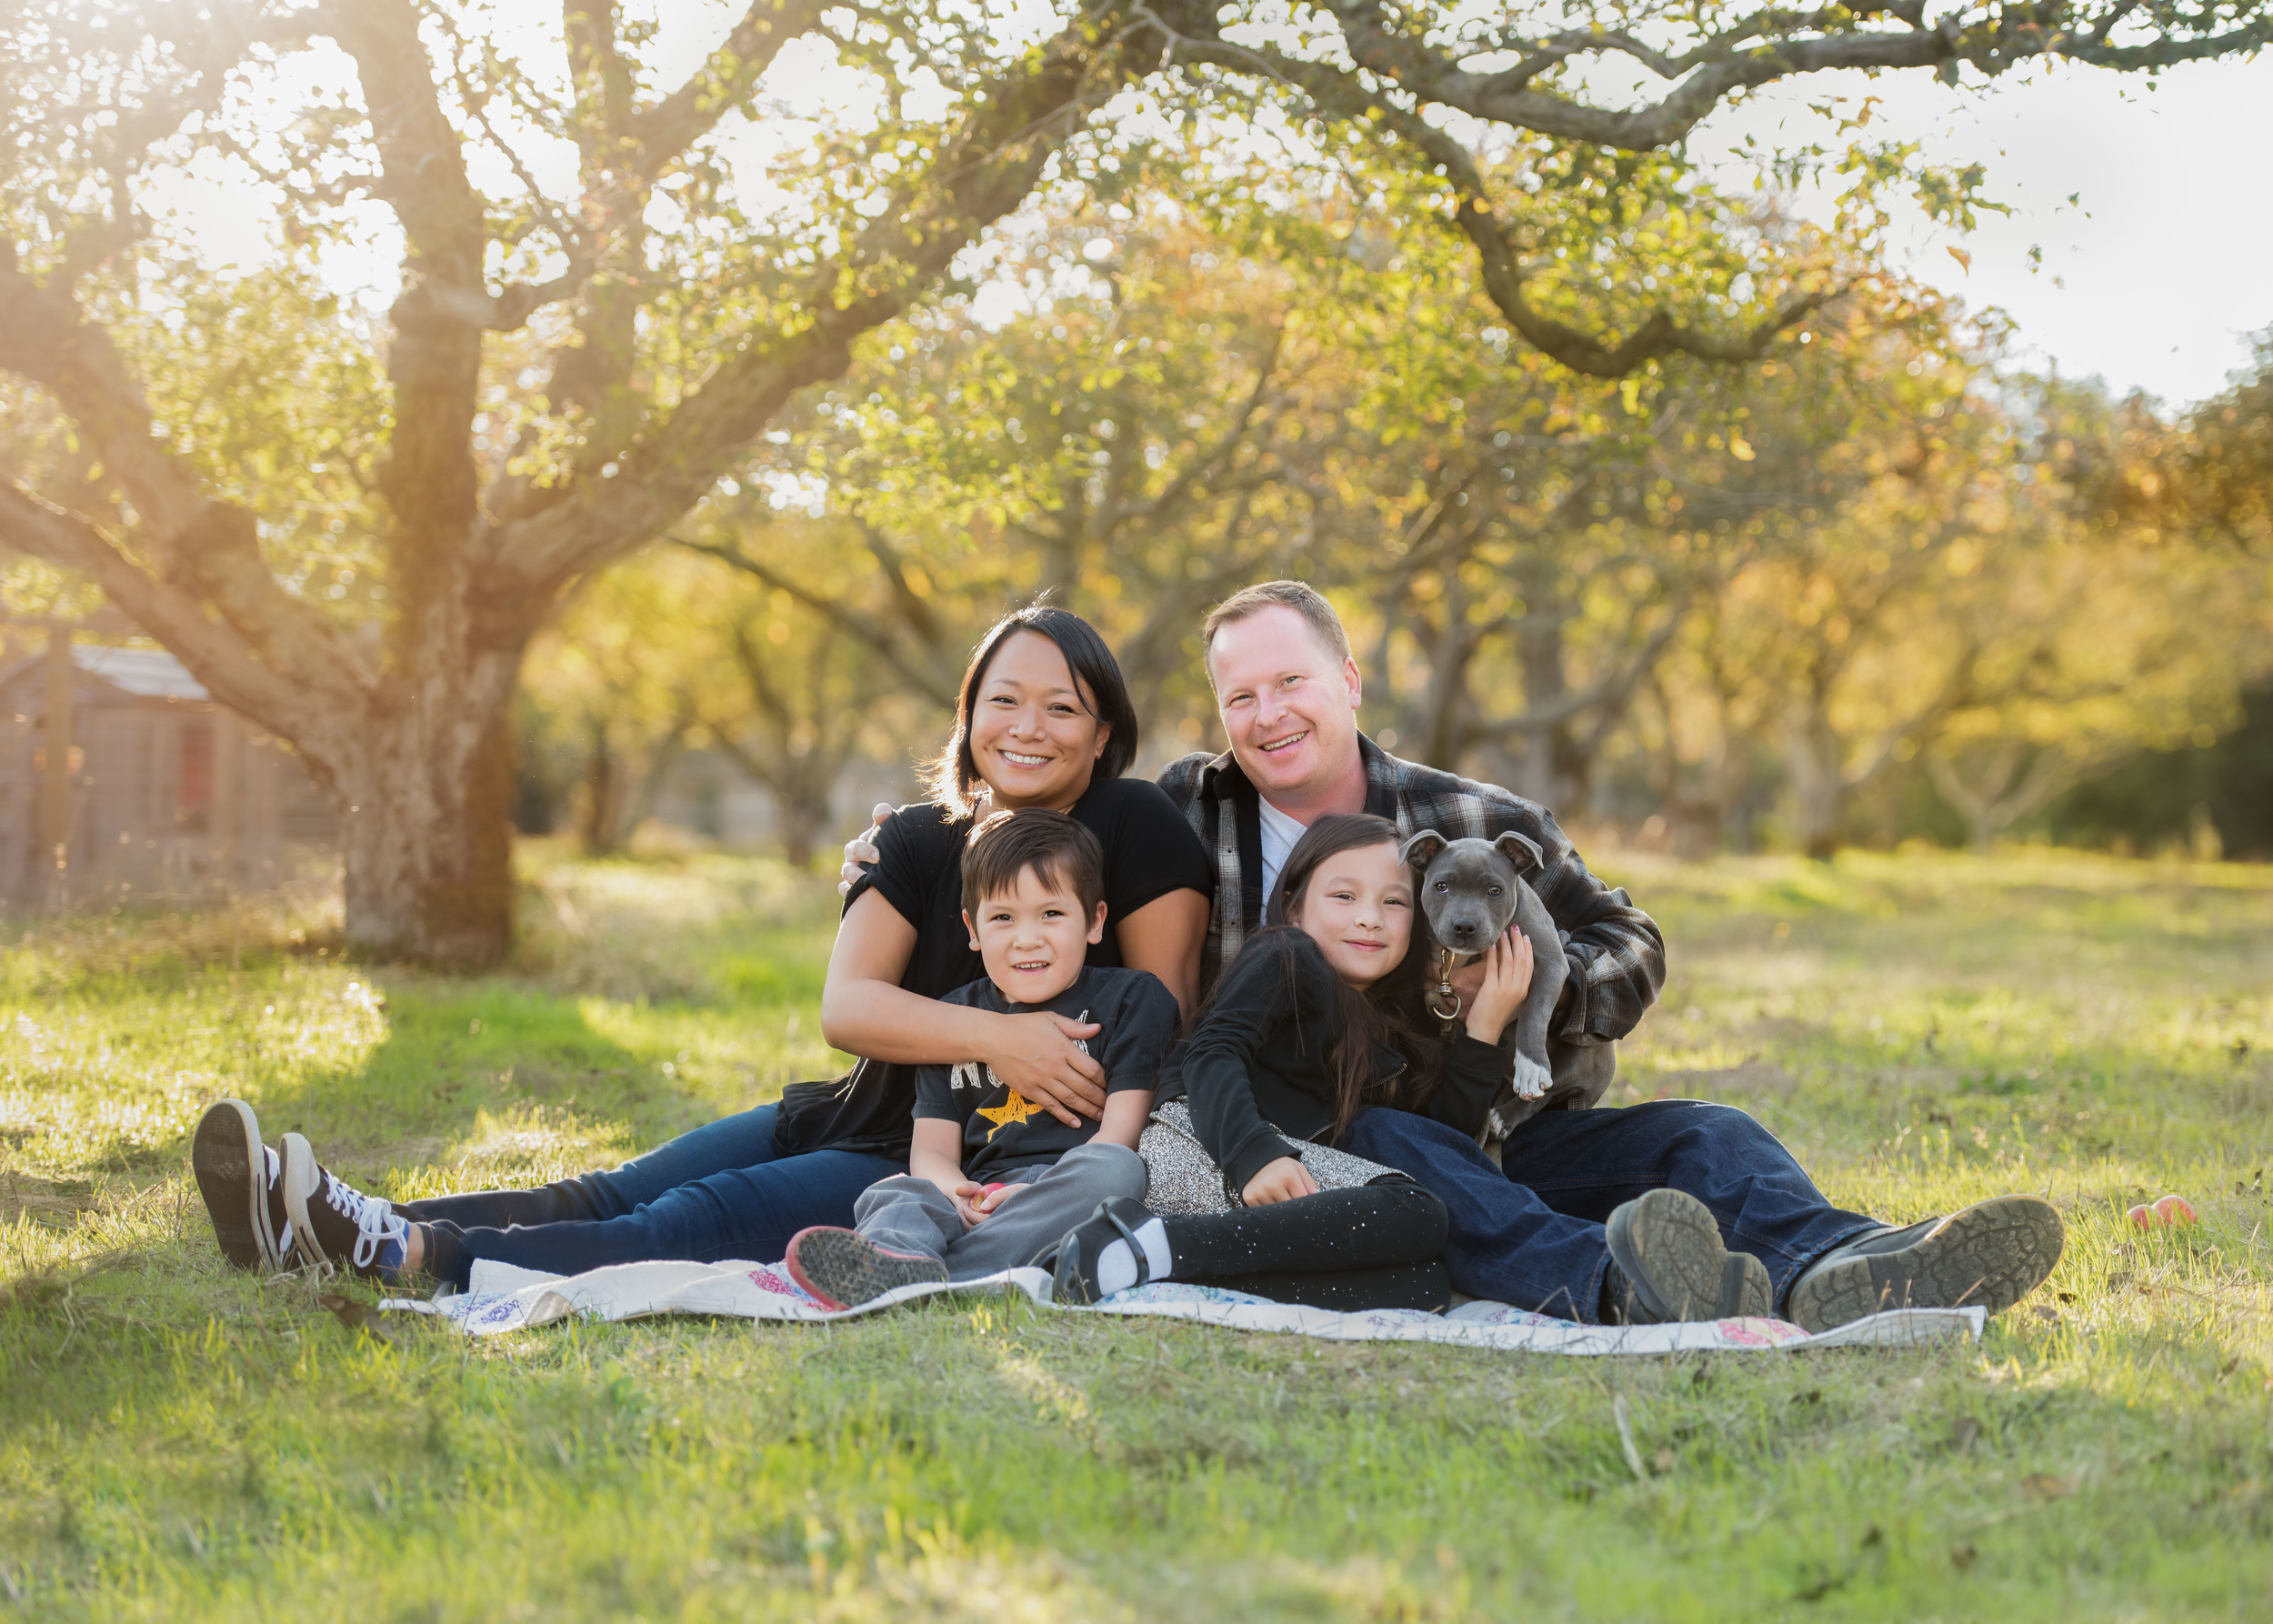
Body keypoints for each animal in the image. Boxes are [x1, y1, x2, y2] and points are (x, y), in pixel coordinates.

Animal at [1400, 827, 1564, 1105]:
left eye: (1495, 890)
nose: (1464, 926)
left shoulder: (1553, 960)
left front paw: (1531, 1067)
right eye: (1441, 887)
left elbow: (1535, 1013)